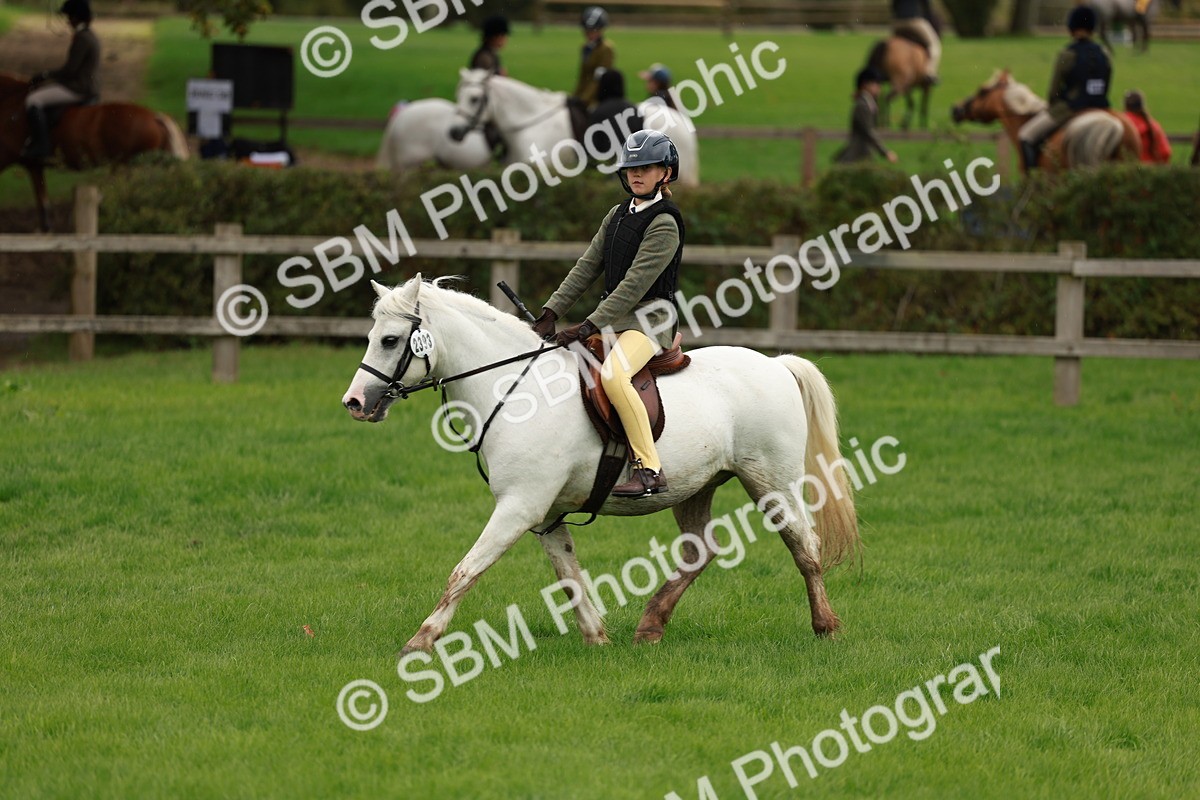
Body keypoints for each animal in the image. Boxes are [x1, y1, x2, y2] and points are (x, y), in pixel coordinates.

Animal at [0, 72, 189, 231]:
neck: (11, 103)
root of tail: (154, 116)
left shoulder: (10, 156)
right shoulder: (34, 165)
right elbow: (43, 200)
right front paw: (46, 229)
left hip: (128, 168)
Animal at [341, 276, 859, 654]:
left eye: (390, 340)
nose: (355, 403)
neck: (516, 390)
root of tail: (776, 363)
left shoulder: (518, 507)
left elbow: (465, 570)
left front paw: (421, 640)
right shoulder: (545, 516)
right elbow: (569, 576)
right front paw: (597, 638)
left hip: (771, 481)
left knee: (804, 545)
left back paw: (826, 626)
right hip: (698, 485)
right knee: (701, 550)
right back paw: (650, 625)